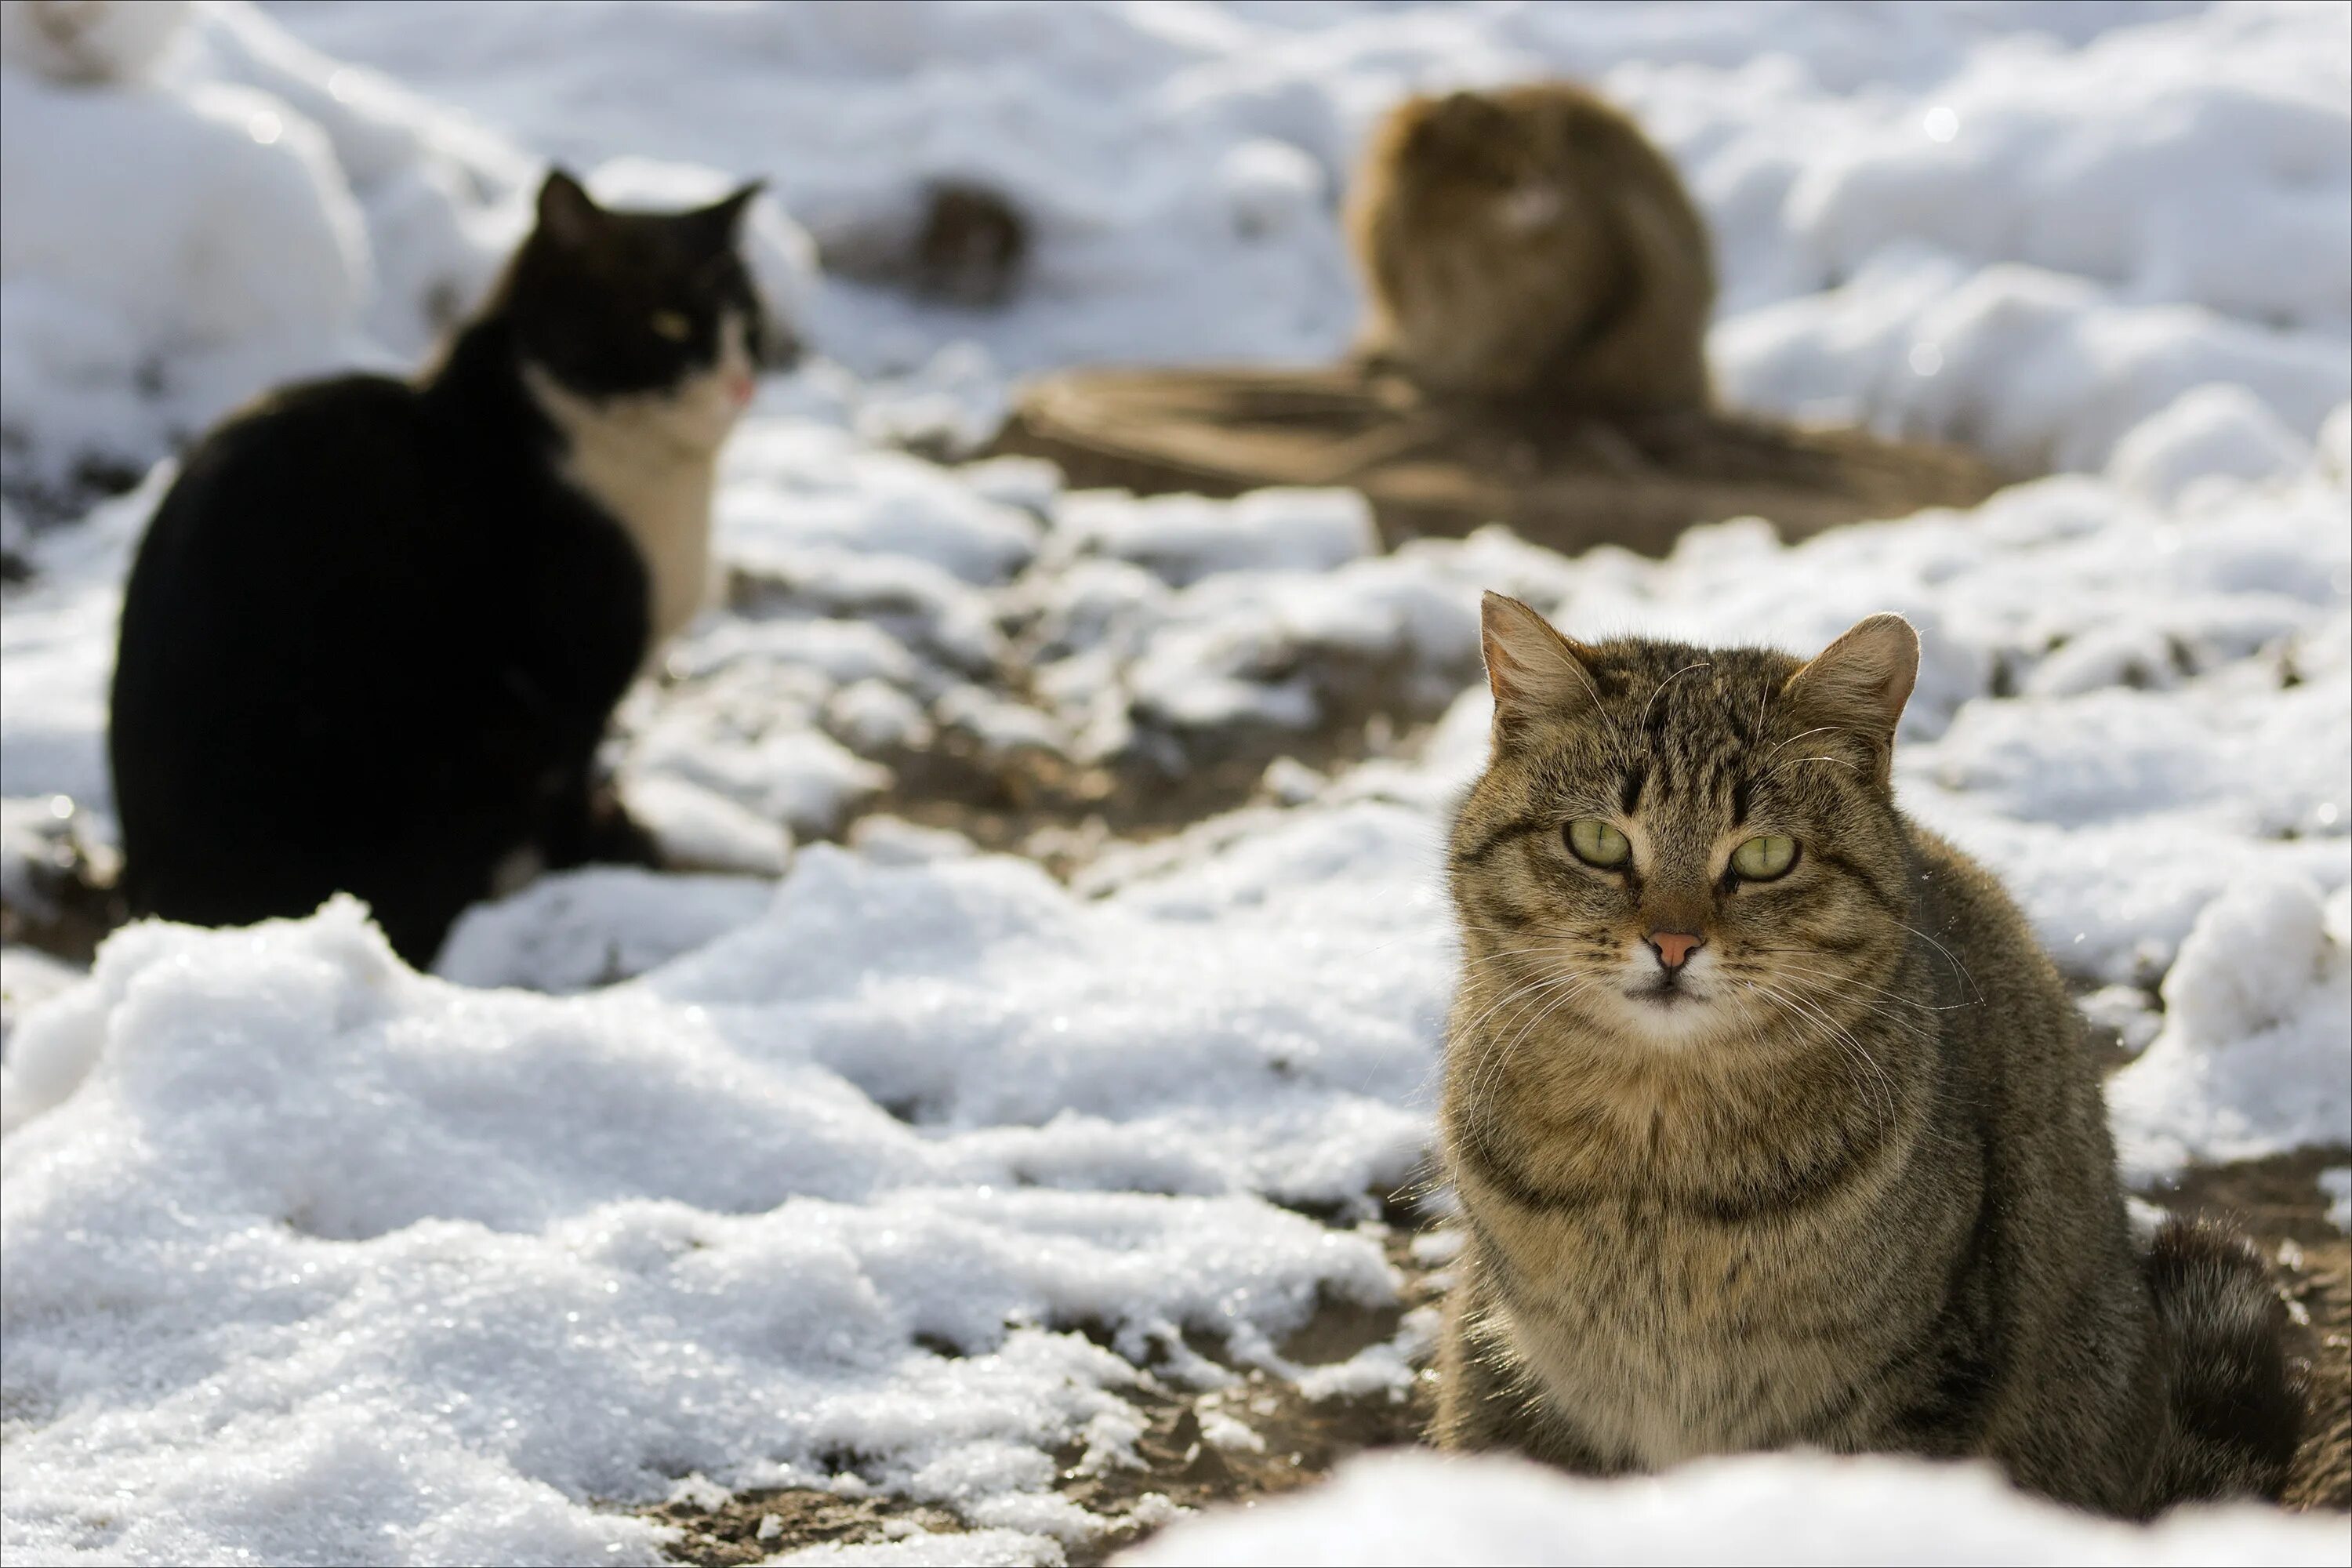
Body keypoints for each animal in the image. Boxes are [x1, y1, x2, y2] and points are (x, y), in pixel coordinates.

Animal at [112, 165, 771, 964]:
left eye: (750, 323)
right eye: (668, 324)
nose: (740, 383)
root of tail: (169, 911)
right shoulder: (572, 678)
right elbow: (574, 781)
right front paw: (598, 850)